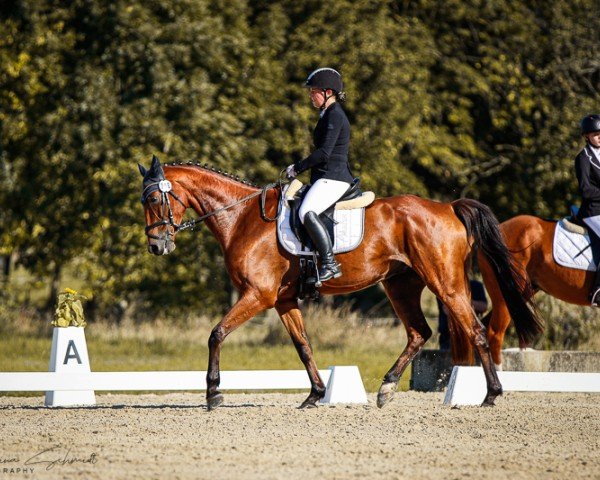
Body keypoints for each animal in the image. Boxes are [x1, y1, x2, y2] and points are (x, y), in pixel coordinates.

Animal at [138, 157, 540, 408]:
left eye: (155, 198)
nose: (157, 246)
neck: (242, 217)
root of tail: (447, 207)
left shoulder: (259, 295)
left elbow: (216, 333)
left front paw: (213, 393)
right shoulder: (284, 301)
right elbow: (303, 346)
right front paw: (315, 394)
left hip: (446, 284)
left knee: (475, 331)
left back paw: (491, 395)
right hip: (401, 285)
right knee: (419, 333)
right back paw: (386, 388)